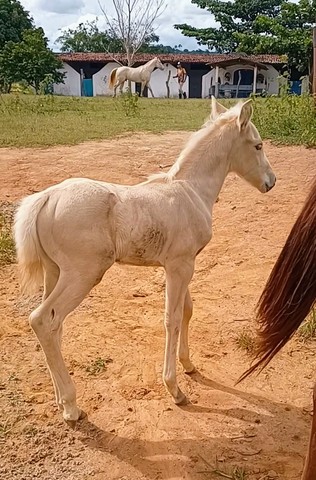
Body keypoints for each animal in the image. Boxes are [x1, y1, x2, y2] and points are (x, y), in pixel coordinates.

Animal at [14, 96, 276, 424]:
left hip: (55, 271)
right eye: (258, 145)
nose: (271, 182)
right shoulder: (179, 267)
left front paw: (189, 365)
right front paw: (175, 389)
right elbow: (171, 319)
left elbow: (187, 311)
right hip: (82, 274)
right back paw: (72, 406)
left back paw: (61, 401)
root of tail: (47, 196)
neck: (191, 192)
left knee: (53, 327)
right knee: (43, 320)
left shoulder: (182, 266)